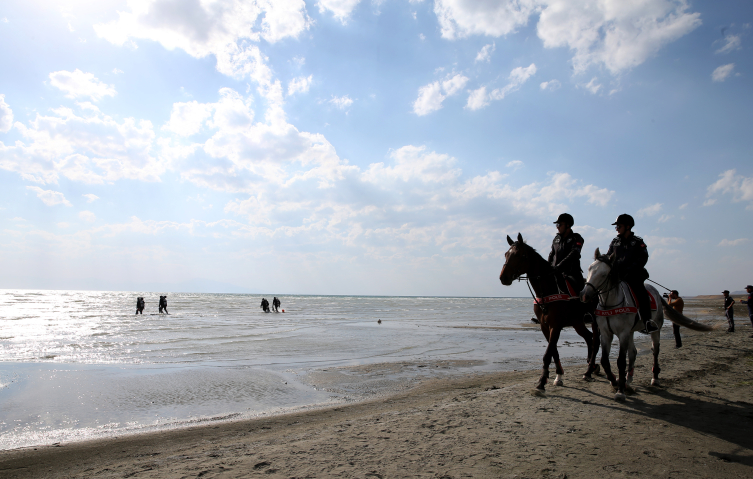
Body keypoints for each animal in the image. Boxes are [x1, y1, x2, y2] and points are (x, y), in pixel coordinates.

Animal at [500, 232, 600, 394]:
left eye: (520, 255)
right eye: (506, 254)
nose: (503, 277)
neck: (548, 288)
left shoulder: (556, 325)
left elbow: (548, 354)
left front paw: (541, 382)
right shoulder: (544, 326)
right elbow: (553, 351)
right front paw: (558, 376)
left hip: (596, 321)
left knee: (595, 341)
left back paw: (590, 370)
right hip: (577, 322)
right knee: (588, 338)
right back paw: (591, 367)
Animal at [580, 248, 712, 402]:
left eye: (604, 274)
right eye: (589, 269)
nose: (585, 295)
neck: (610, 303)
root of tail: (657, 293)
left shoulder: (623, 333)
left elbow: (620, 361)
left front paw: (620, 391)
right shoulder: (607, 333)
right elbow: (605, 361)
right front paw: (615, 382)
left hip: (655, 330)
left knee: (655, 351)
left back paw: (654, 378)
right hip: (631, 332)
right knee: (633, 352)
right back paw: (628, 379)